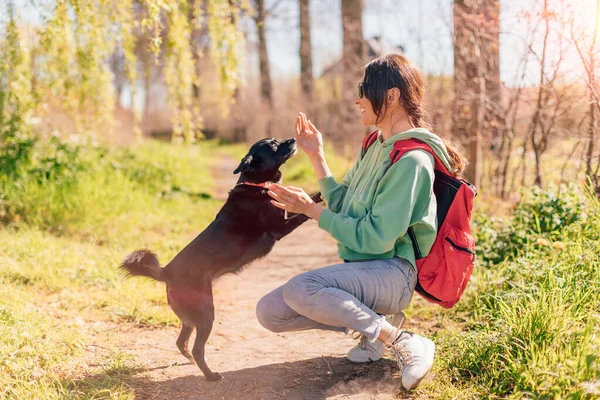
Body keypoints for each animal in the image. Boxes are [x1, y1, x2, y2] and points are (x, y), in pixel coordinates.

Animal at [119, 138, 322, 382]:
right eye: (273, 145)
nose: (292, 139)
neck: (256, 185)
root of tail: (166, 272)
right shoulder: (280, 228)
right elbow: (304, 213)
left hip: (191, 316)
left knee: (181, 341)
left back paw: (189, 361)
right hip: (206, 314)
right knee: (197, 348)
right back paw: (211, 375)